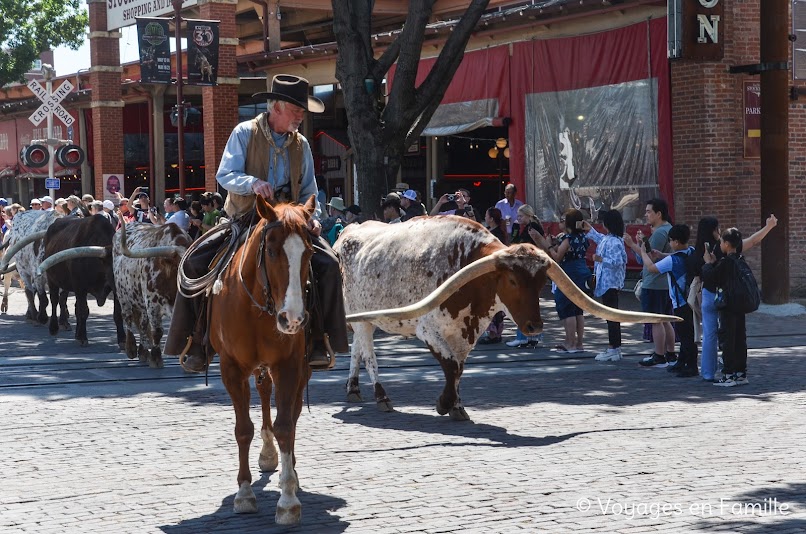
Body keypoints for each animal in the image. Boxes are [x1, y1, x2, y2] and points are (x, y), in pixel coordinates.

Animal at [208, 195, 316, 524]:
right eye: (270, 250)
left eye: (308, 251)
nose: (293, 319)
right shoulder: (231, 369)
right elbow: (243, 429)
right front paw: (244, 494)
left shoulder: (289, 366)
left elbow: (285, 426)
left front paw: (288, 499)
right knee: (264, 392)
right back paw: (267, 456)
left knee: (291, 412)